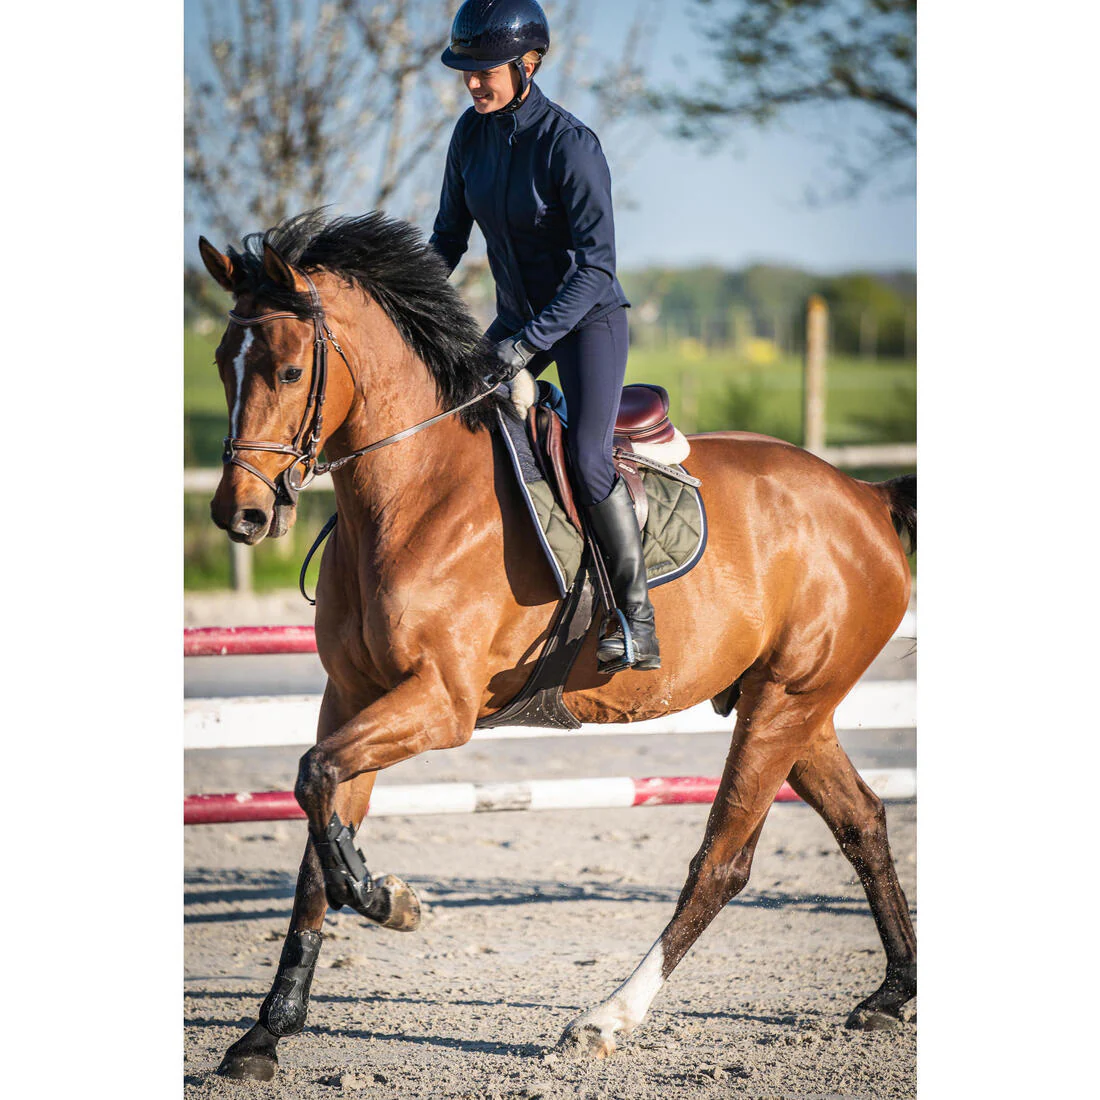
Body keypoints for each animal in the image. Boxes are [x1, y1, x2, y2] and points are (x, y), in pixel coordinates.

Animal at [196, 210, 916, 1082]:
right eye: (222, 365)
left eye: (292, 369)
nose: (240, 516)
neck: (414, 493)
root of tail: (864, 497)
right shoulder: (352, 697)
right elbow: (315, 818)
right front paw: (265, 1033)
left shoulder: (441, 704)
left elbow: (316, 782)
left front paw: (389, 901)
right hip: (791, 705)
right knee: (864, 823)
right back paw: (892, 994)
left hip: (784, 704)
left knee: (723, 862)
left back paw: (607, 1018)